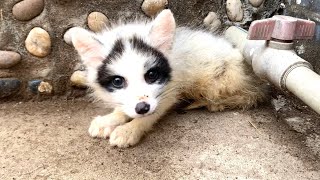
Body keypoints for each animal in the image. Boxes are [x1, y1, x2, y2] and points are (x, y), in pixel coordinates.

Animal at [70, 8, 268, 148]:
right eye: (118, 82)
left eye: (151, 75)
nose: (142, 107)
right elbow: (123, 108)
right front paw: (110, 119)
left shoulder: (170, 91)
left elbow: (152, 114)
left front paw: (129, 130)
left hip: (221, 78)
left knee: (243, 96)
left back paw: (209, 103)